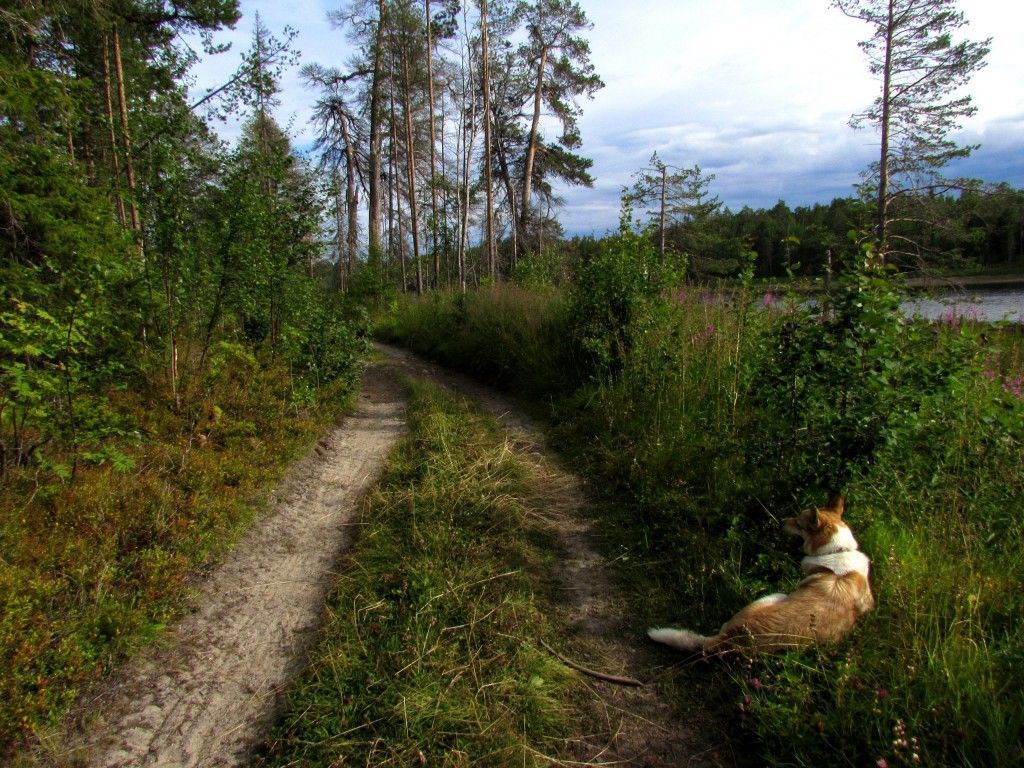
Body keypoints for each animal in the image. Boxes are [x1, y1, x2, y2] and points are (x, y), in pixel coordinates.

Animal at [647, 499, 872, 655]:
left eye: (798, 522)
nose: (781, 521)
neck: (838, 550)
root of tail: (726, 640)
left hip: (773, 597)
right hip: (775, 596)